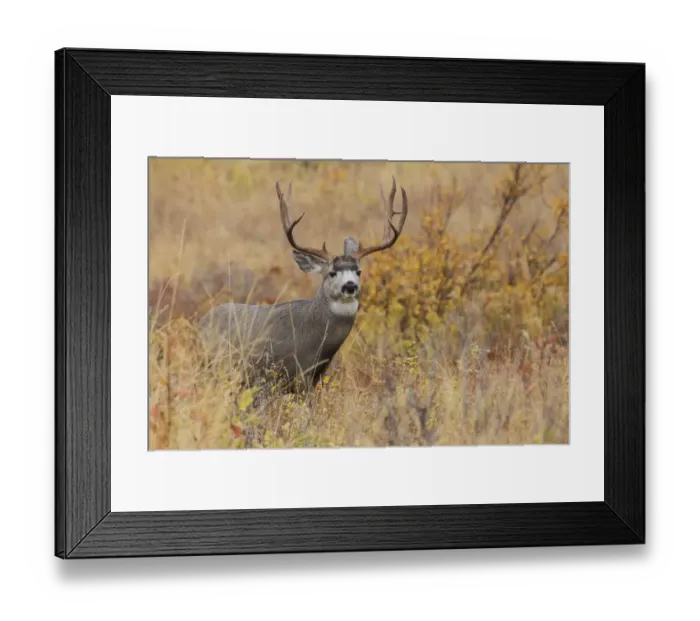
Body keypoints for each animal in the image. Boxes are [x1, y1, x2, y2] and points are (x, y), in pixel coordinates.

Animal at [198, 176, 408, 395]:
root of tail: (203, 321)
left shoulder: (311, 380)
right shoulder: (266, 374)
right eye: (332, 272)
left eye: (359, 272)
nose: (350, 286)